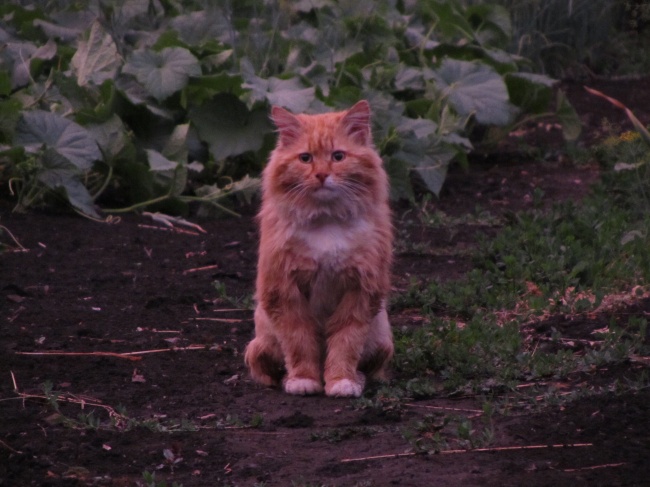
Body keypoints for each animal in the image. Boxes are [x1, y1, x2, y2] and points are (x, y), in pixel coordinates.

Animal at [244, 100, 393, 397]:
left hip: (382, 339)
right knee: (269, 370)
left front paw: (340, 381)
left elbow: (346, 343)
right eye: (305, 158)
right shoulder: (283, 290)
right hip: (260, 344)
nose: (322, 175)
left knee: (371, 368)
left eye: (338, 156)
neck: (327, 220)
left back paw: (357, 378)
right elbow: (299, 342)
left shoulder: (361, 290)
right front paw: (304, 380)